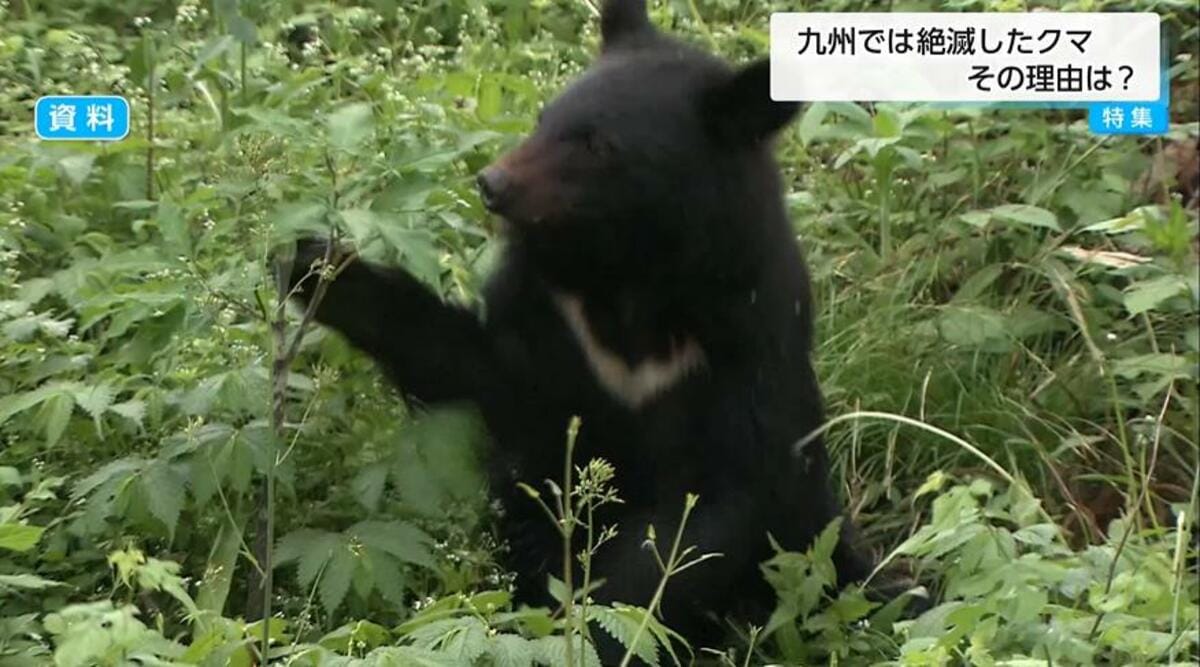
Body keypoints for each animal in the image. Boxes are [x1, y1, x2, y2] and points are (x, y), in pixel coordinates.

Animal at [288, 0, 871, 655]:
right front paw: (317, 267)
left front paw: (585, 624)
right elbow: (472, 369)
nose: (492, 183)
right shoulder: (548, 313)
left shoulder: (745, 346)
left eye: (598, 145)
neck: (626, 274)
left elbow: (710, 514)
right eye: (544, 117)